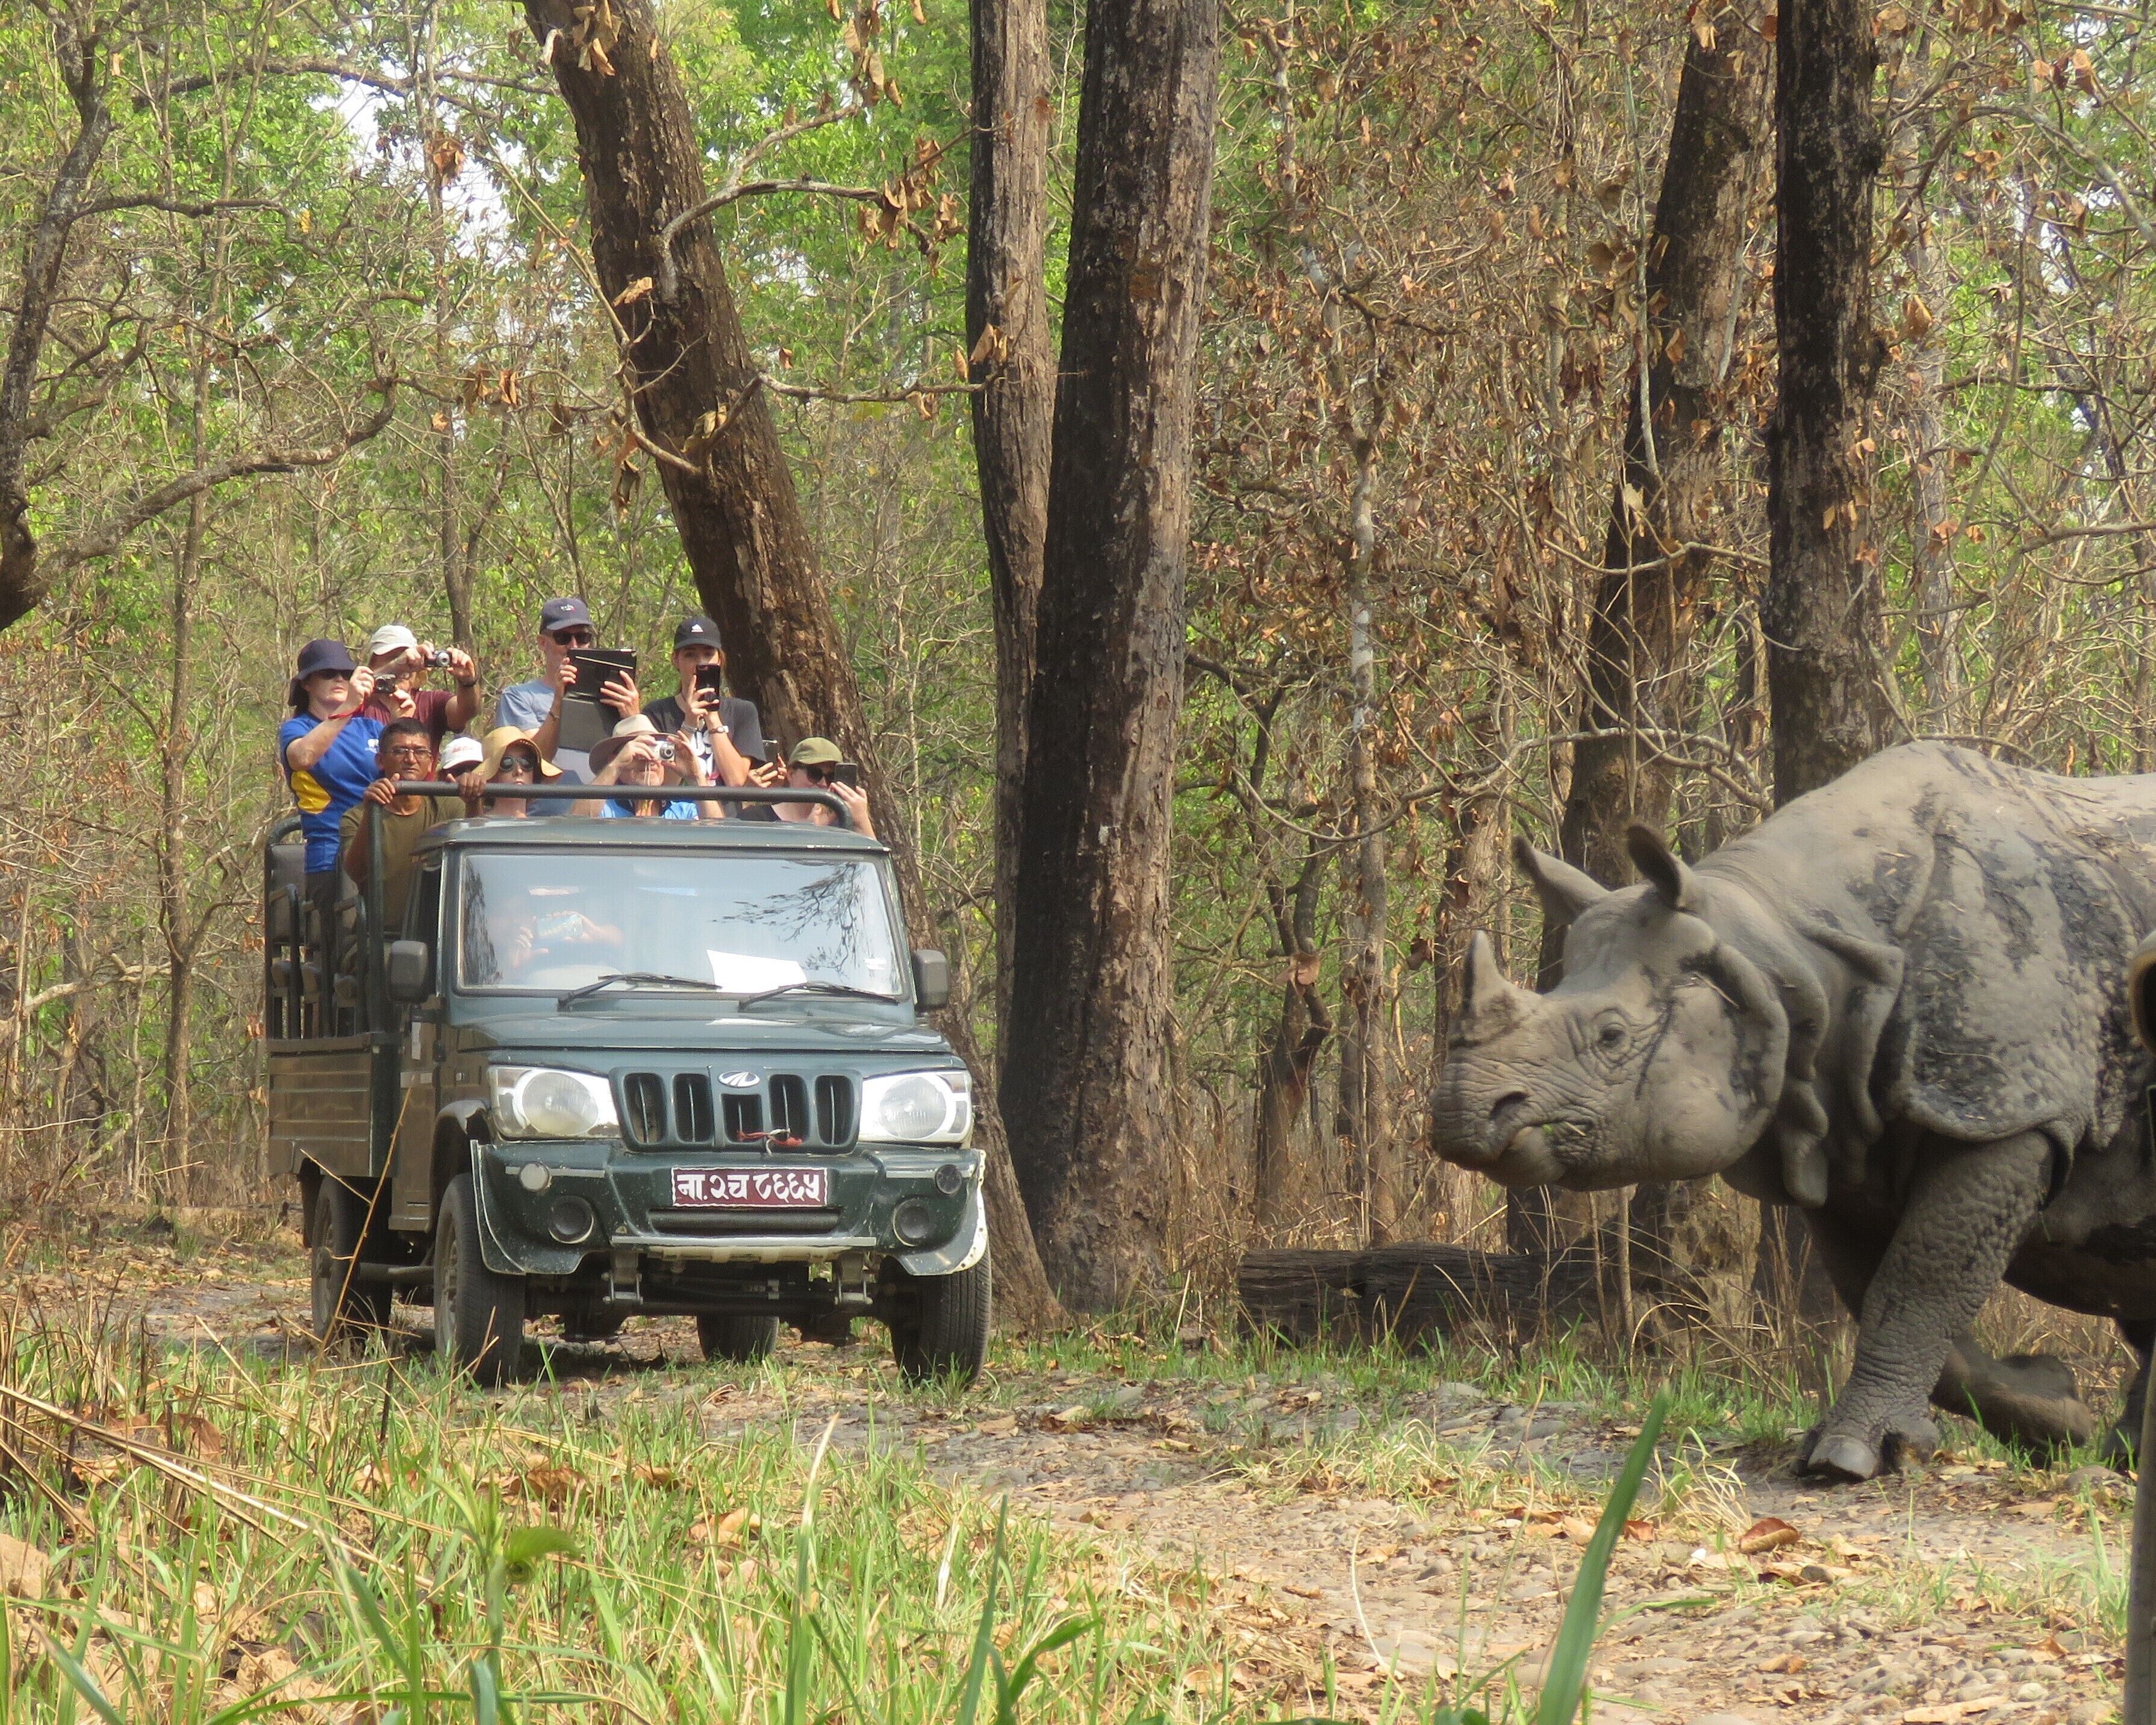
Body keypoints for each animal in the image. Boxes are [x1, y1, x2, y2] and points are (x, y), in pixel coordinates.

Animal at [1430, 741, 2156, 1481]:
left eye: (1610, 1035)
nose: (1461, 1111)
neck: (1774, 946)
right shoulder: (1842, 1130)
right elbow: (1879, 1289)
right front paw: (2056, 1409)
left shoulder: (2008, 1105)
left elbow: (1922, 1279)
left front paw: (1846, 1459)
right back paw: (2122, 1455)